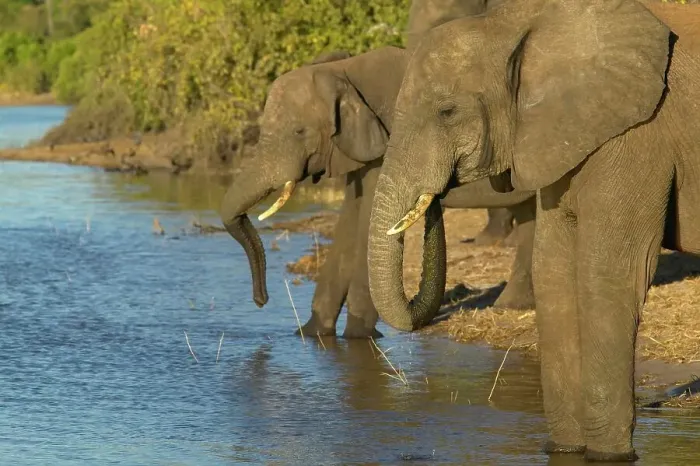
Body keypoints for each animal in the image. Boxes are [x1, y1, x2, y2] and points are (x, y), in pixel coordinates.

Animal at [366, 0, 700, 461]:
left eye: (447, 112)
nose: (435, 193)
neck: (520, 24)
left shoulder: (638, 137)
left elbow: (607, 275)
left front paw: (609, 455)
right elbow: (553, 272)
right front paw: (563, 448)